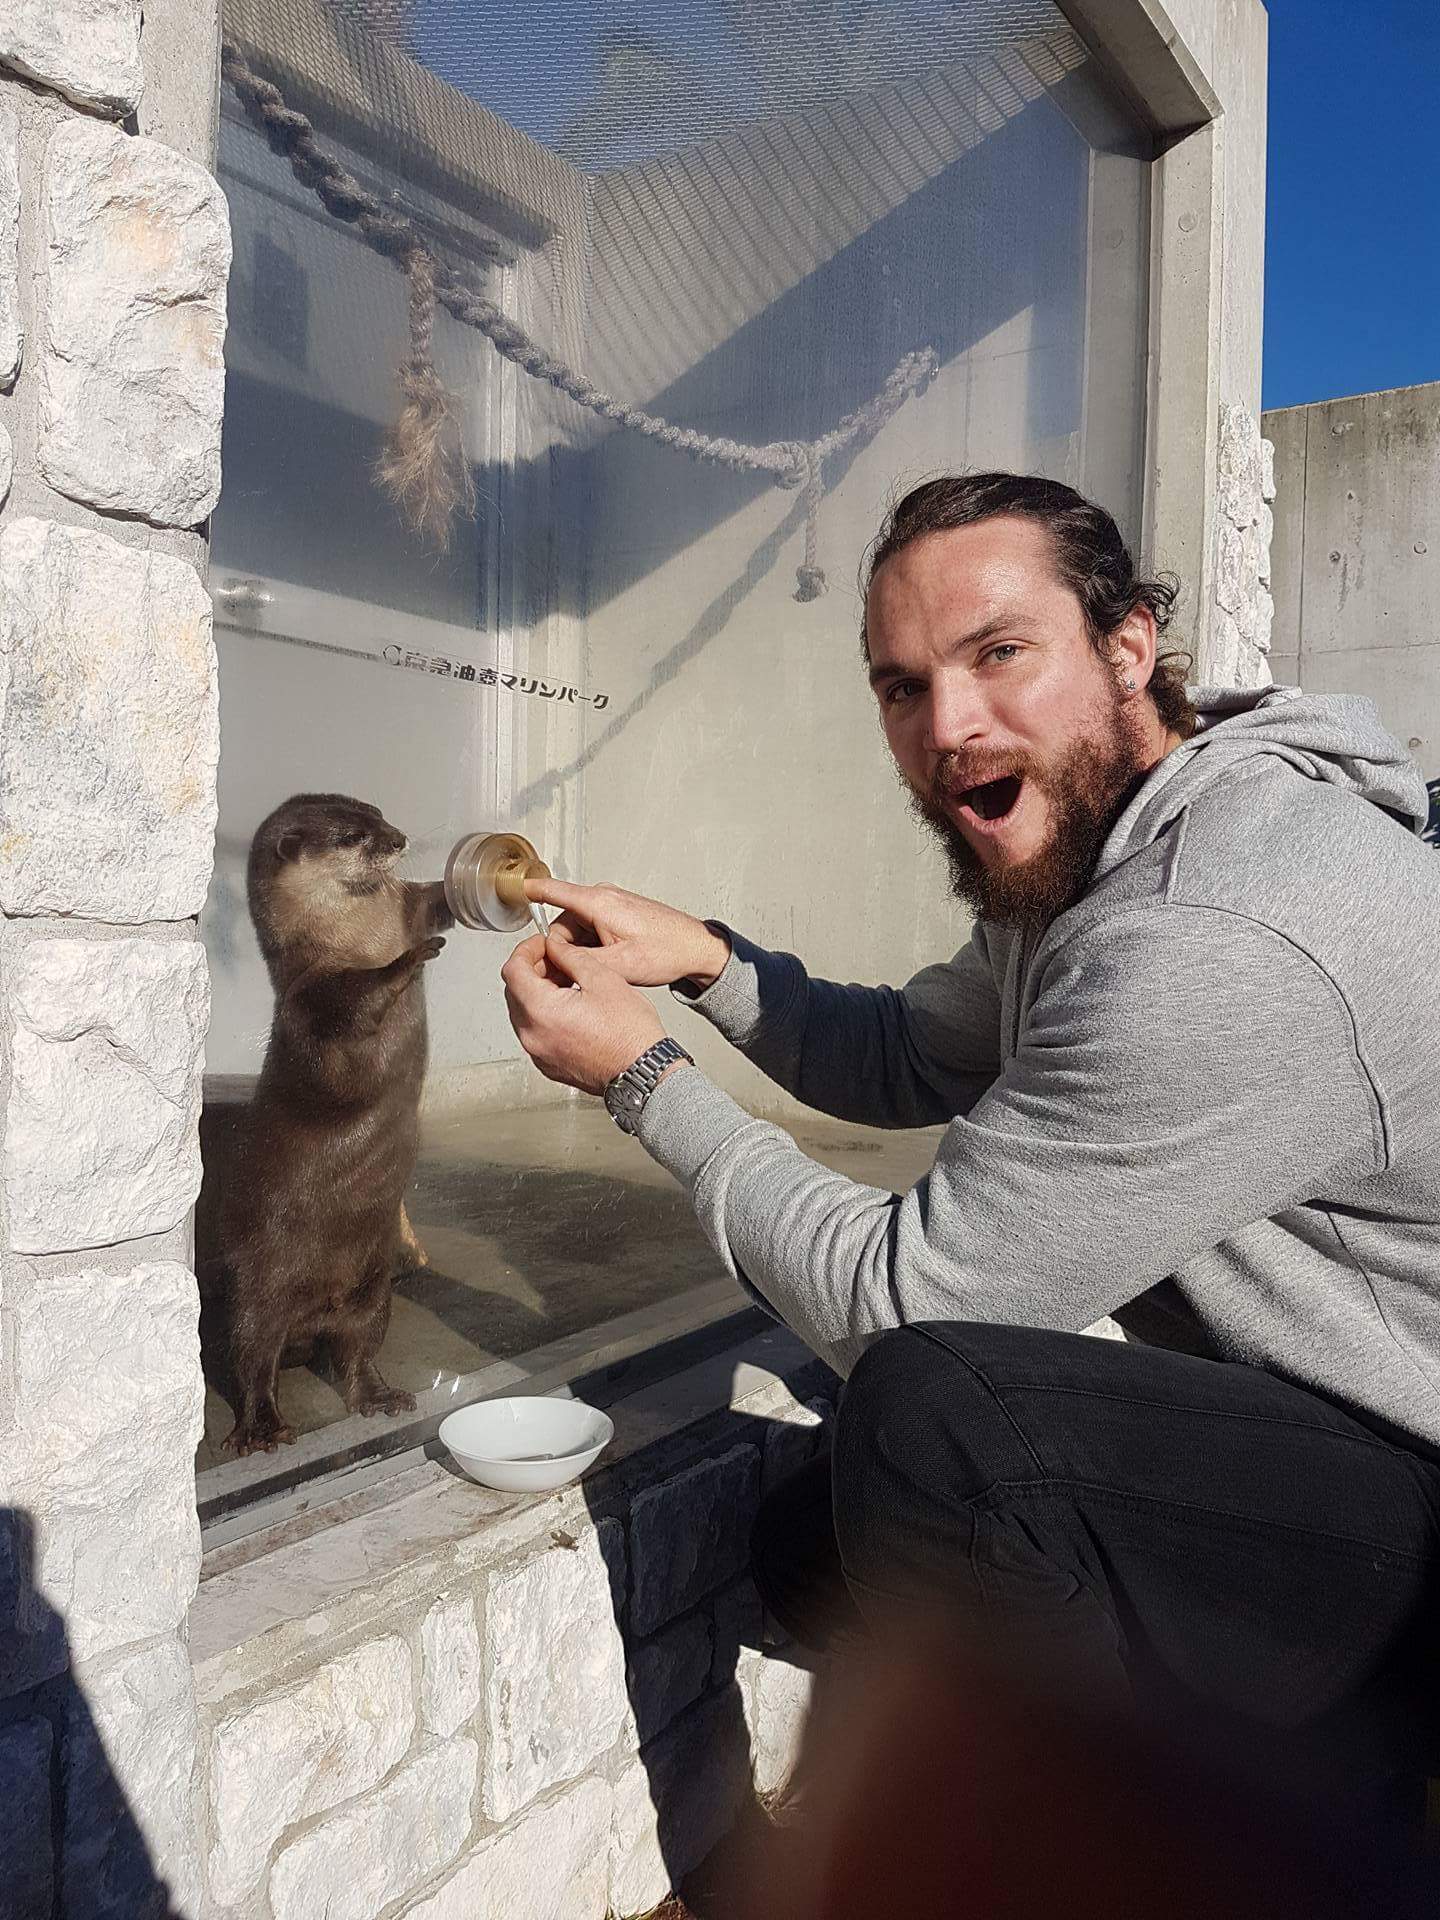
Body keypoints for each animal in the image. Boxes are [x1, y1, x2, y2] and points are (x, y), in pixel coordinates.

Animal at [218, 794, 451, 1451]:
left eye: (380, 815)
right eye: (352, 835)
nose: (398, 838)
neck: (359, 936)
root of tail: (309, 1318)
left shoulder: (403, 907)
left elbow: (430, 900)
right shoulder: (311, 994)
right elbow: (356, 997)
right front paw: (408, 960)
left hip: (373, 1288)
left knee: (356, 1349)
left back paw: (379, 1397)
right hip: (254, 1285)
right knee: (252, 1356)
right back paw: (263, 1429)